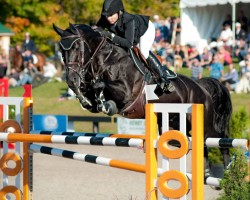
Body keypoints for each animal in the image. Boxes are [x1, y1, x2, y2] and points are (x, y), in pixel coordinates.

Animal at [52, 23, 232, 175]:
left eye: (76, 47)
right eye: (61, 50)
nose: (71, 80)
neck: (106, 60)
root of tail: (200, 85)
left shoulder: (126, 92)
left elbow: (100, 84)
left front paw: (106, 104)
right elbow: (91, 95)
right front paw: (86, 98)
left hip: (204, 124)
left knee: (219, 138)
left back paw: (227, 169)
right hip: (174, 125)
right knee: (195, 143)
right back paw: (206, 172)